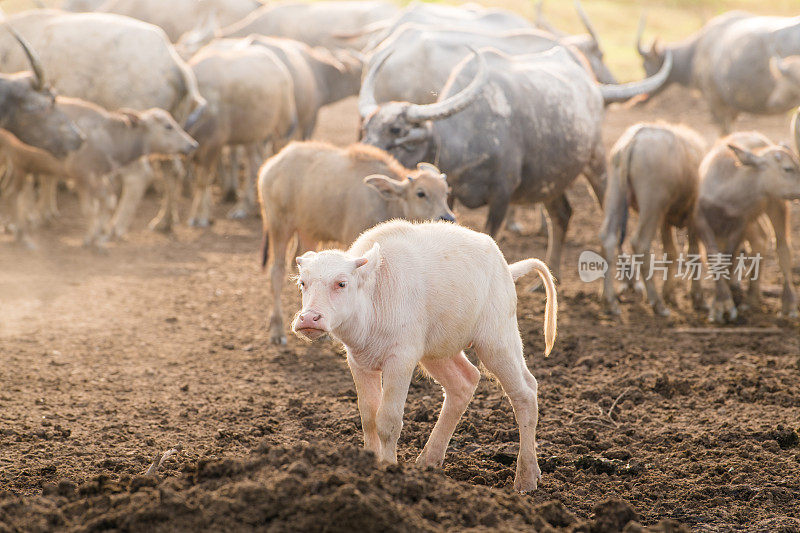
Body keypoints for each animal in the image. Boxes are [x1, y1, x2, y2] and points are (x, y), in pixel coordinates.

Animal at [290, 219, 556, 490]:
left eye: (341, 283)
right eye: (303, 283)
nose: (308, 318)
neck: (374, 302)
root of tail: (507, 269)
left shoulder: (401, 359)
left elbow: (387, 421)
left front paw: (389, 466)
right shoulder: (358, 362)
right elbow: (368, 418)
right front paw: (369, 461)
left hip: (498, 338)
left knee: (525, 392)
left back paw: (526, 480)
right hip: (437, 351)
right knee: (465, 382)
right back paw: (428, 461)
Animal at [360, 47, 668, 278]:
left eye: (396, 131)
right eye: (367, 127)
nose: (364, 155)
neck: (468, 135)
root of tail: (593, 87)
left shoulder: (502, 195)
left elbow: (489, 236)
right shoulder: (451, 196)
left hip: (597, 162)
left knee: (608, 213)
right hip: (549, 180)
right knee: (562, 215)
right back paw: (551, 276)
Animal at [600, 123, 708, 316]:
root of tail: (633, 140)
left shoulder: (665, 219)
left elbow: (671, 252)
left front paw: (670, 294)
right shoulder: (692, 217)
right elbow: (693, 253)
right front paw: (698, 298)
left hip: (616, 194)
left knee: (608, 239)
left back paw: (610, 302)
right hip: (652, 206)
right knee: (640, 243)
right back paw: (657, 303)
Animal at [640, 12, 800, 133]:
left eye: (645, 66)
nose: (640, 99)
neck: (696, 52)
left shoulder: (715, 100)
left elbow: (725, 133)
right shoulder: (732, 106)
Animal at [692, 124, 800, 322]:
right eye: (788, 168)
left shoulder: (740, 223)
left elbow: (728, 257)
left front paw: (726, 303)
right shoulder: (700, 221)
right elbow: (714, 258)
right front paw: (722, 303)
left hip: (777, 204)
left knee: (782, 248)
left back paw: (788, 304)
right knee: (761, 240)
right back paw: (751, 299)